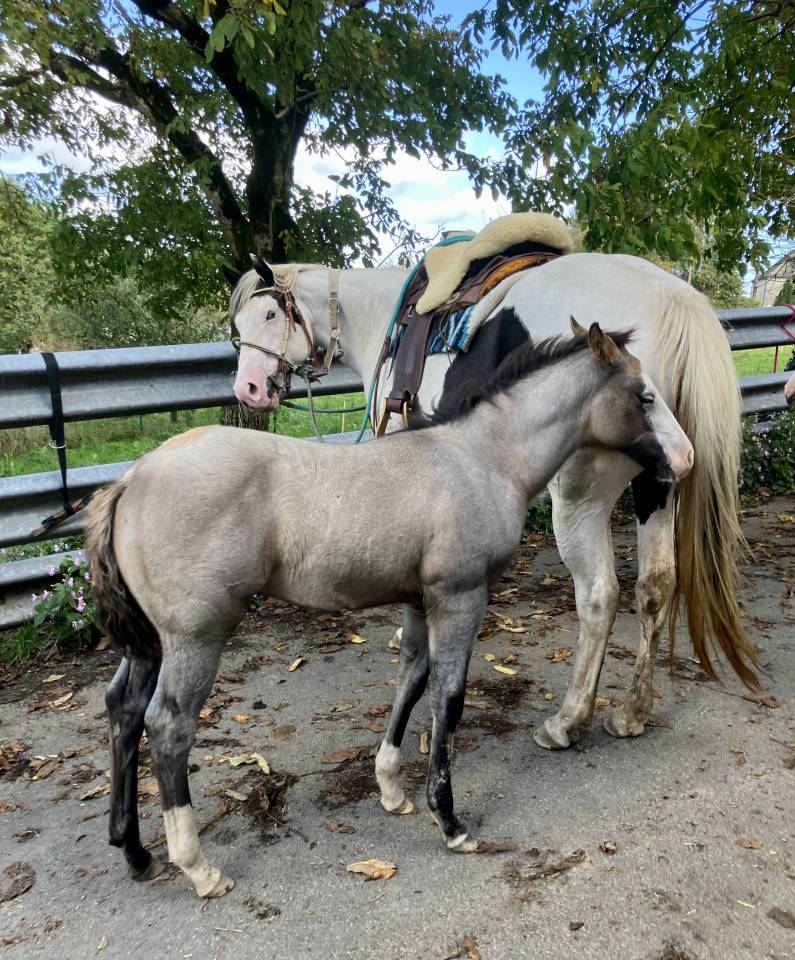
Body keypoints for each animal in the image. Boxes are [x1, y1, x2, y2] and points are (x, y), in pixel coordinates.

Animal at [87, 320, 692, 897]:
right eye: (644, 396)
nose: (684, 460)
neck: (483, 460)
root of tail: (130, 479)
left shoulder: (421, 602)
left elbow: (412, 680)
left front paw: (391, 790)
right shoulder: (461, 597)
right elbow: (448, 698)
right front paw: (449, 821)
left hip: (151, 641)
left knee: (123, 708)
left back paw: (135, 852)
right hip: (196, 635)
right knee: (168, 725)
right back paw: (198, 868)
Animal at [226, 252, 758, 752]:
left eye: (270, 313)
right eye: (238, 329)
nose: (246, 389)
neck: (384, 318)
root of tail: (671, 297)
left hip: (580, 497)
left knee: (600, 594)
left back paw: (567, 719)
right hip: (659, 481)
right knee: (655, 588)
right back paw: (632, 711)